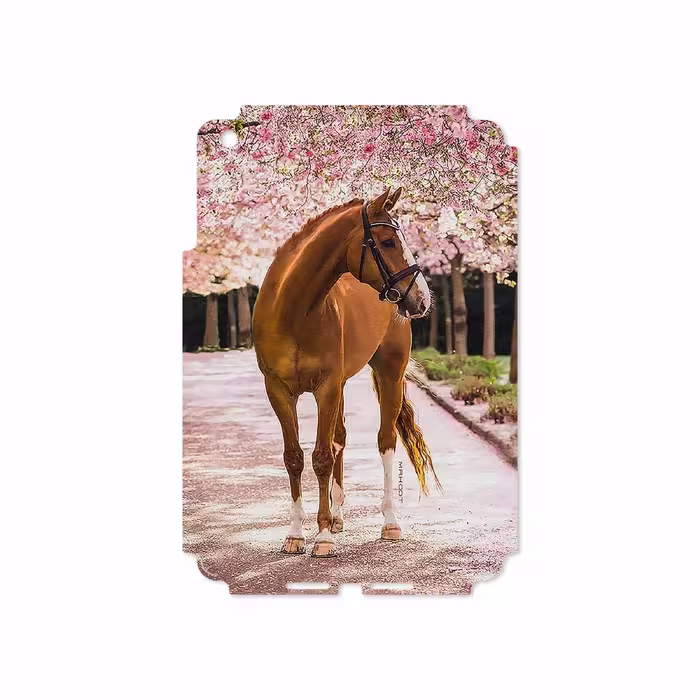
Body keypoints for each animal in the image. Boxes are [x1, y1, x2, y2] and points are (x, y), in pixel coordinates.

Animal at [252, 187, 441, 557]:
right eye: (387, 241)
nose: (423, 298)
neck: (293, 311)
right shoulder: (278, 390)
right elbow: (294, 457)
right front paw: (296, 533)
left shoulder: (326, 388)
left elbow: (322, 457)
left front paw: (322, 536)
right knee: (339, 438)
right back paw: (338, 516)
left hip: (389, 374)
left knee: (385, 441)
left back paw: (389, 522)